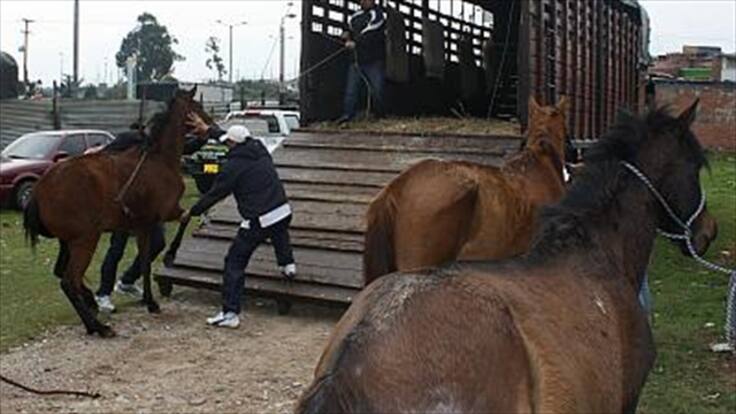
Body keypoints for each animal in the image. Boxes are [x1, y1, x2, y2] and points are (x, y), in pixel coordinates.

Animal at [23, 87, 209, 338]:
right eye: (198, 108)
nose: (212, 128)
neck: (159, 159)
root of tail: (40, 189)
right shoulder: (161, 215)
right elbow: (185, 218)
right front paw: (169, 258)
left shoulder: (143, 225)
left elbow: (149, 258)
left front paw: (149, 299)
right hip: (85, 240)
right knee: (69, 280)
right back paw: (97, 326)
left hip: (67, 242)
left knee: (61, 272)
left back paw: (91, 303)